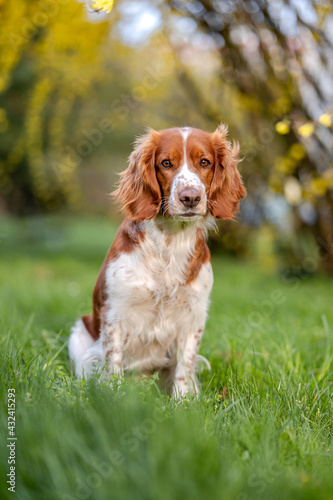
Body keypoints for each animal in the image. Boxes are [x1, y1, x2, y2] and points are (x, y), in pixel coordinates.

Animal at [68, 123, 244, 396]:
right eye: (166, 163)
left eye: (204, 162)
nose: (190, 197)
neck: (170, 243)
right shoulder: (115, 313)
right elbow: (113, 362)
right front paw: (113, 398)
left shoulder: (193, 315)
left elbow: (184, 367)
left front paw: (183, 401)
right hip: (78, 338)